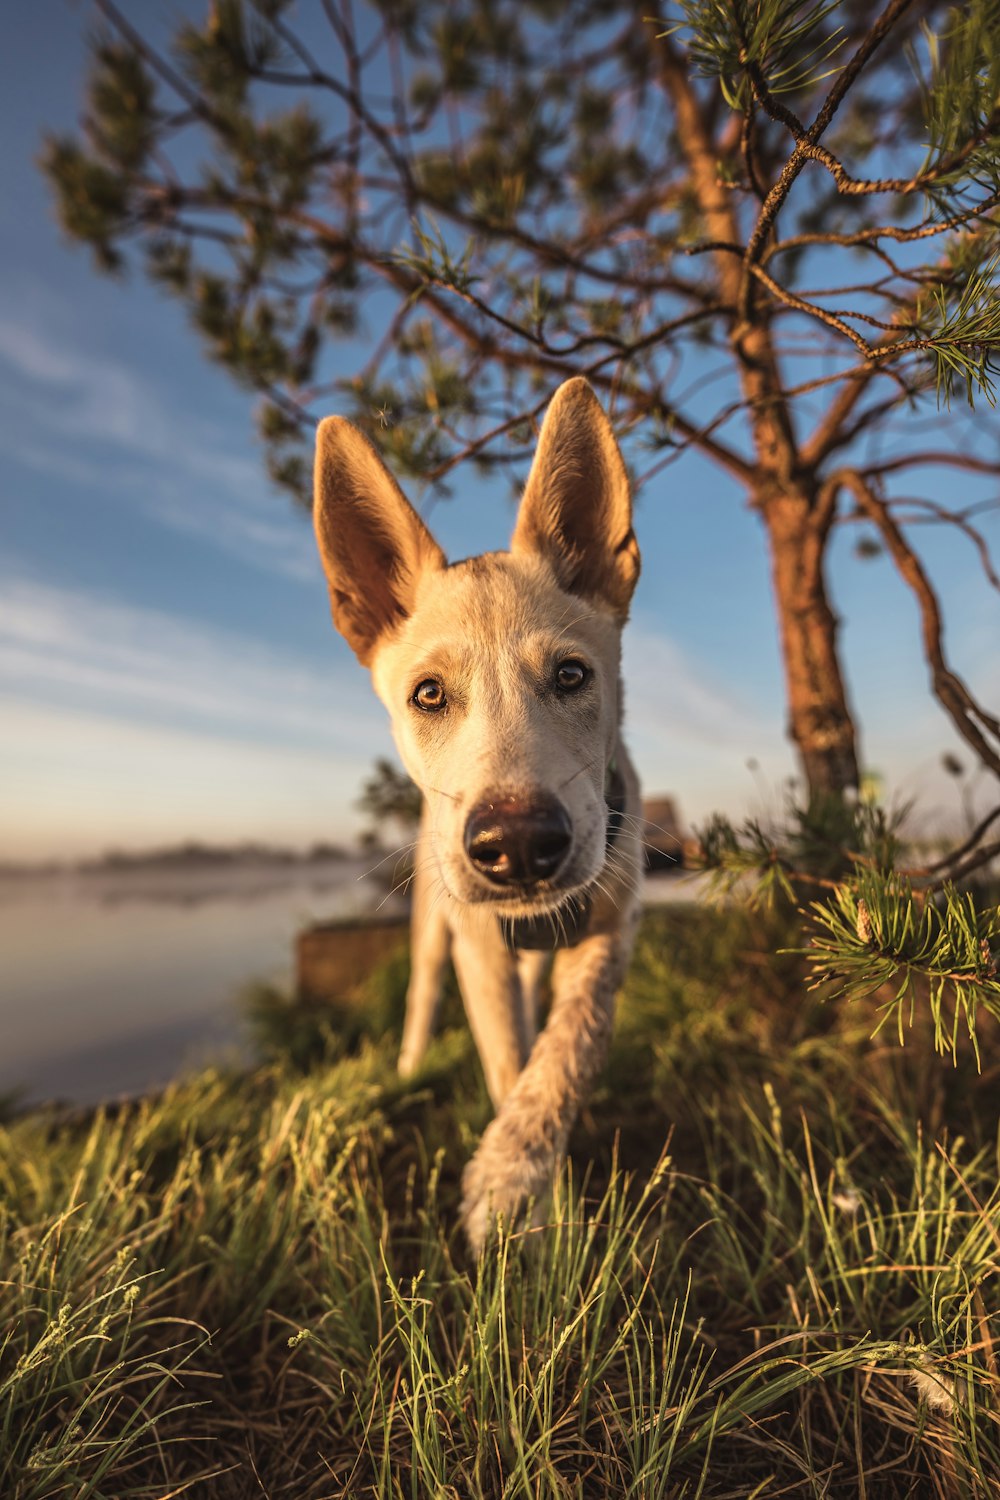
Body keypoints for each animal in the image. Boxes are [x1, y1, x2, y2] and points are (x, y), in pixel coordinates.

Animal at [313, 381, 641, 1248]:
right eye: (428, 695)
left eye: (572, 675)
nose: (519, 845)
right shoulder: (477, 946)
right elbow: (503, 1056)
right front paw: (524, 1199)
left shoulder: (611, 926)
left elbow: (571, 1043)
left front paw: (515, 1167)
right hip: (433, 928)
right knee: (422, 999)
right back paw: (406, 1066)